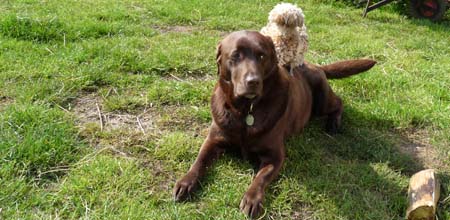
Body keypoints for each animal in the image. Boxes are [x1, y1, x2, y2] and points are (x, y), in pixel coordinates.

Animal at [172, 31, 376, 218]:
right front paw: (186, 182)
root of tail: (314, 64)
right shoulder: (214, 139)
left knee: (339, 102)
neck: (246, 110)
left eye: (261, 55)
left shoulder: (275, 156)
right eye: (236, 56)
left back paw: (333, 123)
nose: (253, 81)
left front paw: (252, 198)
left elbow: (261, 177)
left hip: (322, 100)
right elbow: (199, 160)